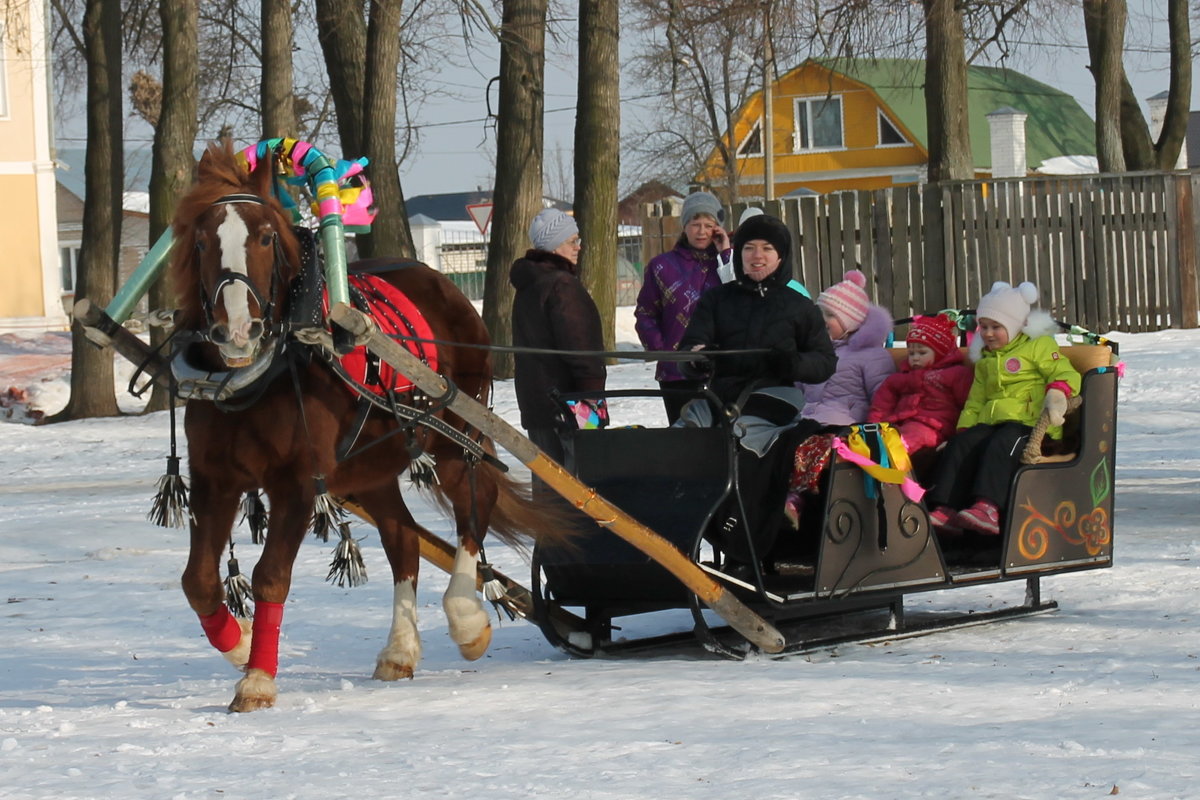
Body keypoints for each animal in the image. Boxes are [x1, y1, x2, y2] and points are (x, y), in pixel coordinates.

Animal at [171, 140, 568, 710]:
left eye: (265, 236)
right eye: (201, 242)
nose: (237, 329)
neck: (257, 379)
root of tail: (439, 281)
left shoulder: (298, 481)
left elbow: (271, 577)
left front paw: (258, 677)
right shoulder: (214, 480)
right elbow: (198, 581)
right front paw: (240, 641)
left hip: (455, 436)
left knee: (475, 509)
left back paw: (466, 619)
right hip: (371, 466)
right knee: (403, 540)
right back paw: (399, 650)